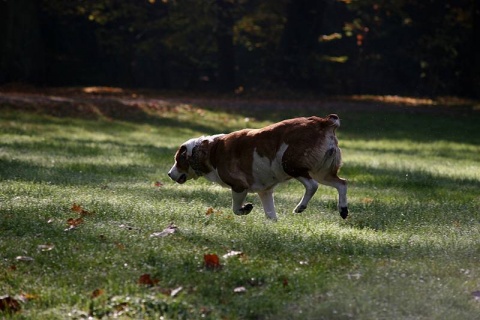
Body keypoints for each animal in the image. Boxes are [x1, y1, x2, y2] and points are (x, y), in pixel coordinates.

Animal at [169, 114, 348, 221]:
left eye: (178, 160)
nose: (169, 174)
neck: (212, 151)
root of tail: (323, 122)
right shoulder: (265, 192)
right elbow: (271, 216)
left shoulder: (239, 186)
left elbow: (235, 209)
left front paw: (245, 209)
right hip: (322, 173)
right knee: (342, 183)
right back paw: (343, 209)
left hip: (291, 165)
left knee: (312, 185)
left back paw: (300, 207)